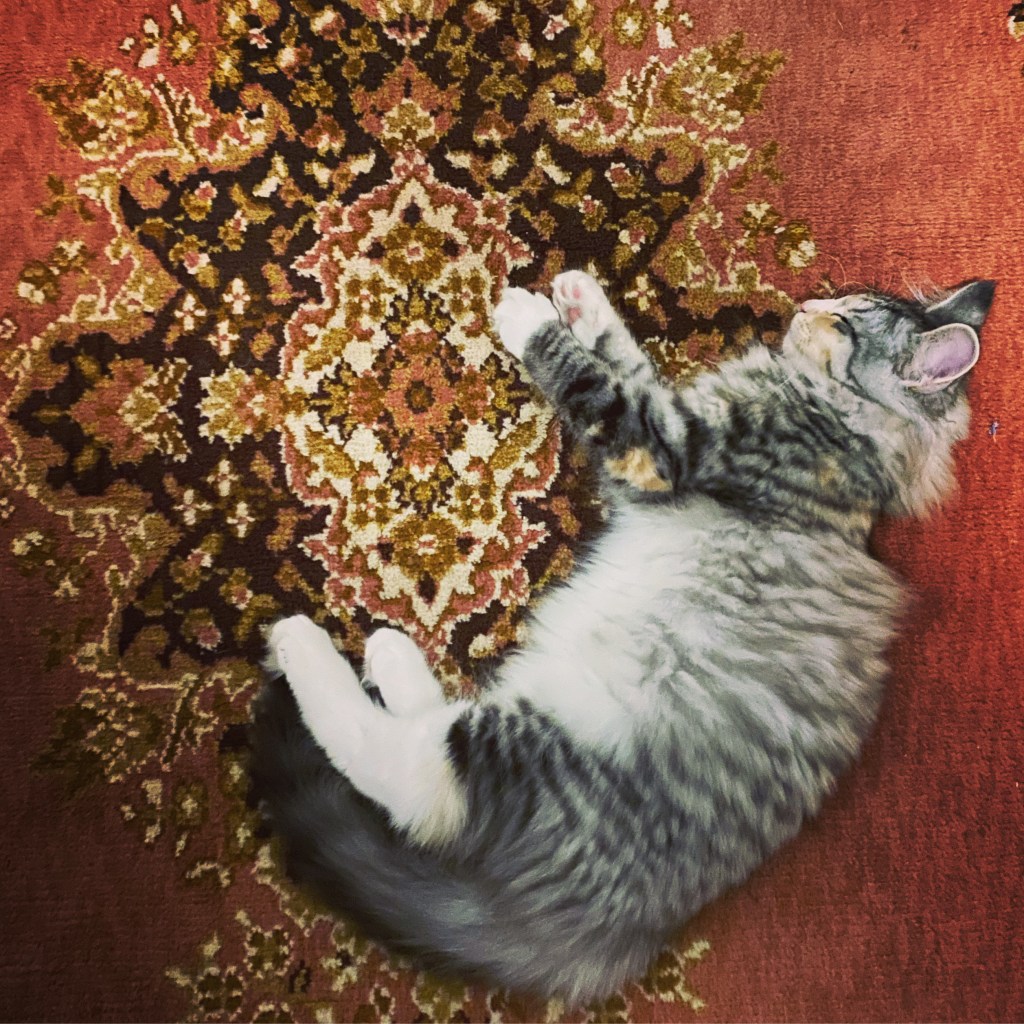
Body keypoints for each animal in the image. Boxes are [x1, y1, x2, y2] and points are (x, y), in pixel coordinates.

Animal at [249, 270, 994, 1004]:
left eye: (845, 320)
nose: (810, 302)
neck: (840, 424)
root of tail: (617, 927)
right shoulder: (663, 426)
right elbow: (627, 360)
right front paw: (581, 298)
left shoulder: (663, 449)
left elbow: (592, 379)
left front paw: (528, 315)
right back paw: (388, 654)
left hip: (541, 749)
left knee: (411, 774)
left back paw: (305, 644)